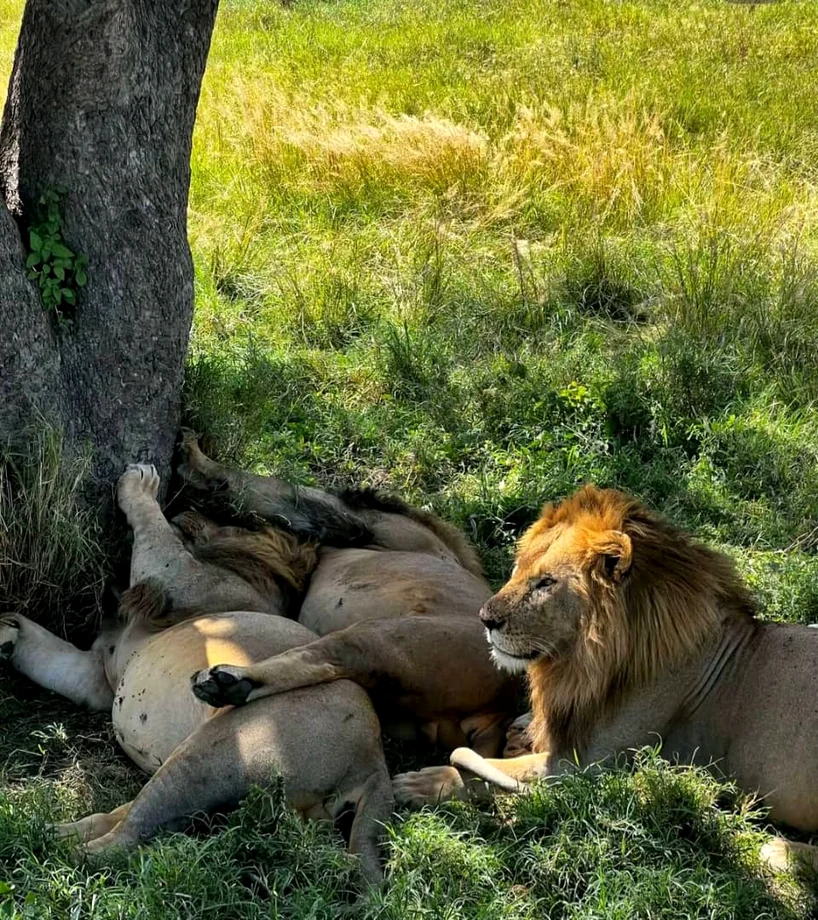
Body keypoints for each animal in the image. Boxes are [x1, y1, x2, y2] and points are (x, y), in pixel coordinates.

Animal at [0, 464, 391, 884]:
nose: (186, 507)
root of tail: (373, 762)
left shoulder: (179, 579)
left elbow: (156, 535)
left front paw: (141, 483)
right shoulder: (96, 678)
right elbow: (43, 650)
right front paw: (7, 631)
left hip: (214, 751)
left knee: (120, 842)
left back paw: (42, 853)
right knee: (124, 817)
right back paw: (47, 830)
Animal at [180, 431, 520, 755]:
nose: (183, 517)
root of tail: (502, 709)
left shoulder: (344, 520)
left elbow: (255, 485)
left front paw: (190, 454)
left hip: (384, 633)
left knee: (322, 660)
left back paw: (228, 681)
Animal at [391, 485, 818, 873]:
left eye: (546, 583)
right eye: (519, 567)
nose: (485, 618)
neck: (583, 664)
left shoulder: (593, 765)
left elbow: (496, 769)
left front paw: (422, 783)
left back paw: (778, 853)